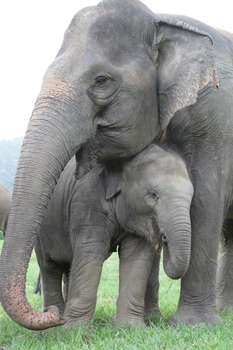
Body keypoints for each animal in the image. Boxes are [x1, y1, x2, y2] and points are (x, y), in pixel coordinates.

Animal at [35, 142, 195, 328]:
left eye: (191, 198)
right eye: (153, 194)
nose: (163, 237)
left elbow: (136, 258)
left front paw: (131, 328)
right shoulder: (87, 201)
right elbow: (91, 253)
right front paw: (75, 330)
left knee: (68, 267)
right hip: (41, 231)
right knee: (49, 267)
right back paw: (55, 320)